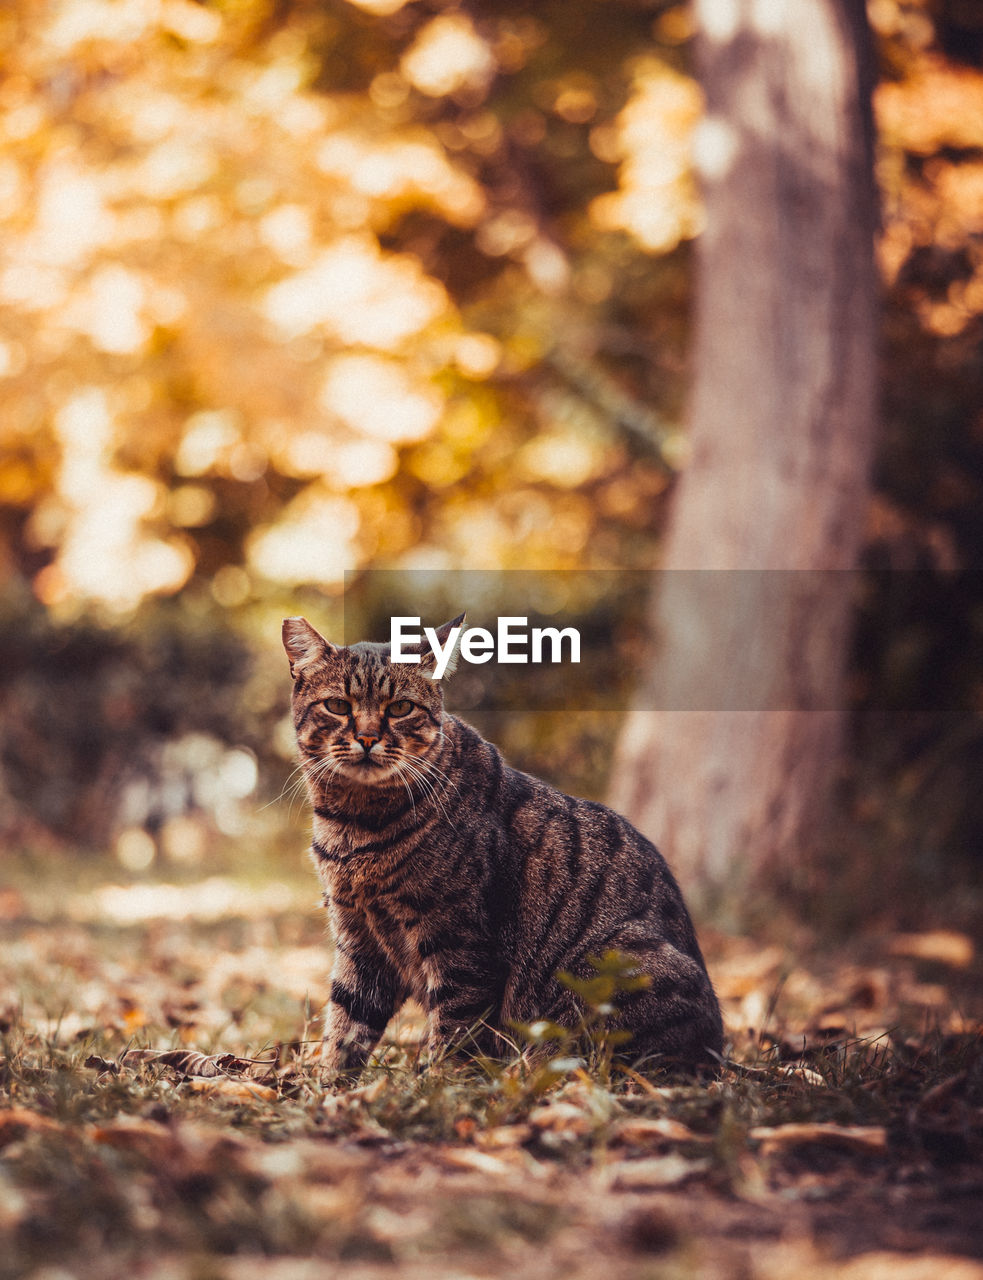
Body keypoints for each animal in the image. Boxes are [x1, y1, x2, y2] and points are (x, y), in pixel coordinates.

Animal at [281, 614, 721, 1075]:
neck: (356, 825)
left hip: (607, 967)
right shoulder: (358, 942)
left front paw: (438, 1084)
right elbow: (344, 1026)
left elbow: (454, 1035)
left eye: (400, 708)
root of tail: (717, 1055)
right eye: (338, 706)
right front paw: (328, 1086)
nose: (367, 737)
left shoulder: (462, 943)